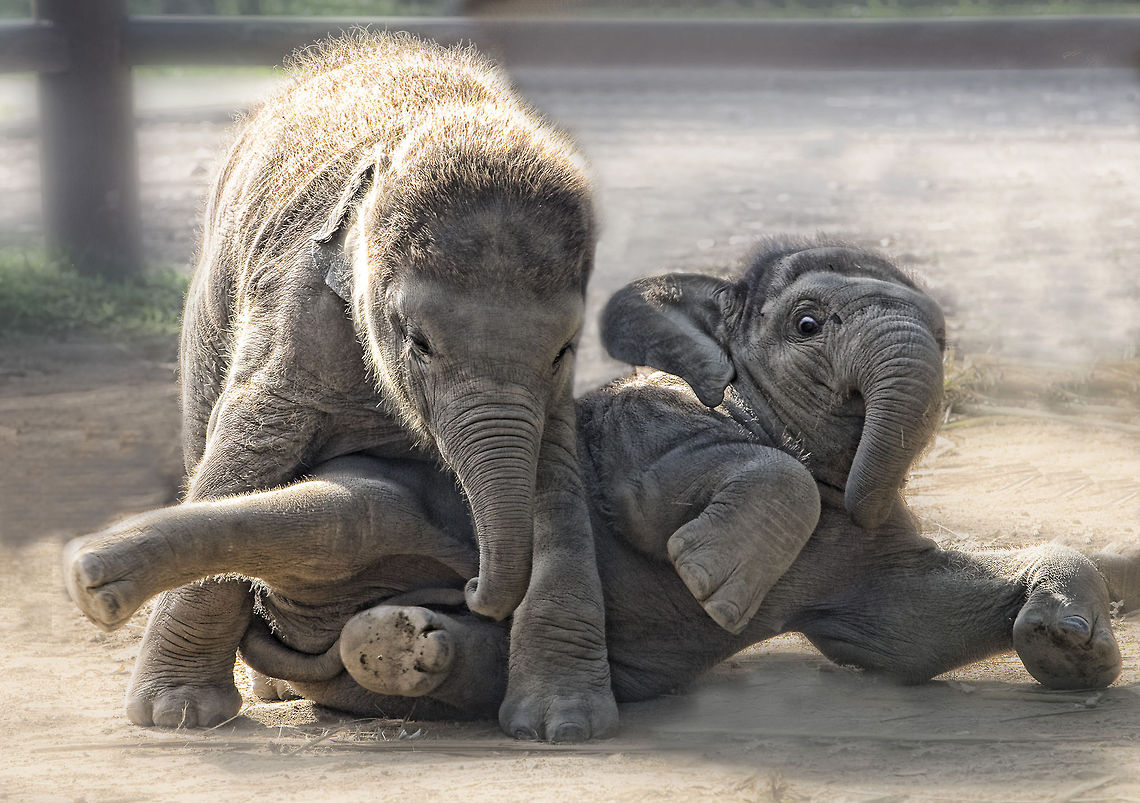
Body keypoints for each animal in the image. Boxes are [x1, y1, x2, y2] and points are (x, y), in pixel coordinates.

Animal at [66, 239, 1139, 725]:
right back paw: (95, 574)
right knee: (339, 514)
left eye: (948, 339)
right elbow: (687, 498)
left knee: (399, 620)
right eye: (807, 323)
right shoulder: (648, 430)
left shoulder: (855, 560)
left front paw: (1071, 647)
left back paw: (399, 646)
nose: (878, 489)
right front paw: (712, 584)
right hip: (375, 498)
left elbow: (904, 632)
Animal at [130, 33, 616, 742]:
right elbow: (242, 459)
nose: (469, 587)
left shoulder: (549, 397)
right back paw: (267, 694)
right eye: (419, 343)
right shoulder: (299, 321)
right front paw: (175, 716)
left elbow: (555, 480)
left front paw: (563, 726)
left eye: (563, 349)